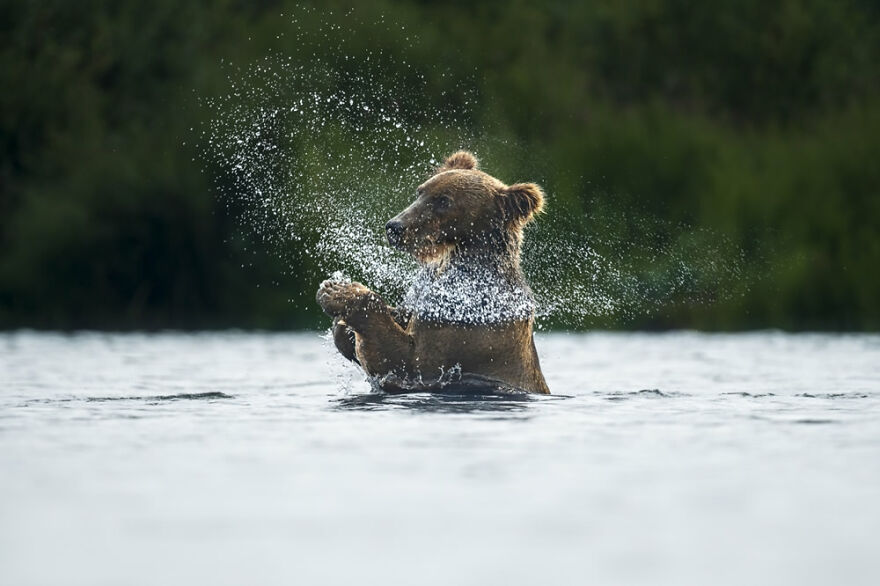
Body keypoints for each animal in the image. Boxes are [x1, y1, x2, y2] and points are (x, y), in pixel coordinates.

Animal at [316, 151, 550, 394]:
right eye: (420, 191)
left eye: (444, 200)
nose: (394, 227)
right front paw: (342, 324)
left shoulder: (466, 329)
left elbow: (406, 360)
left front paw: (339, 292)